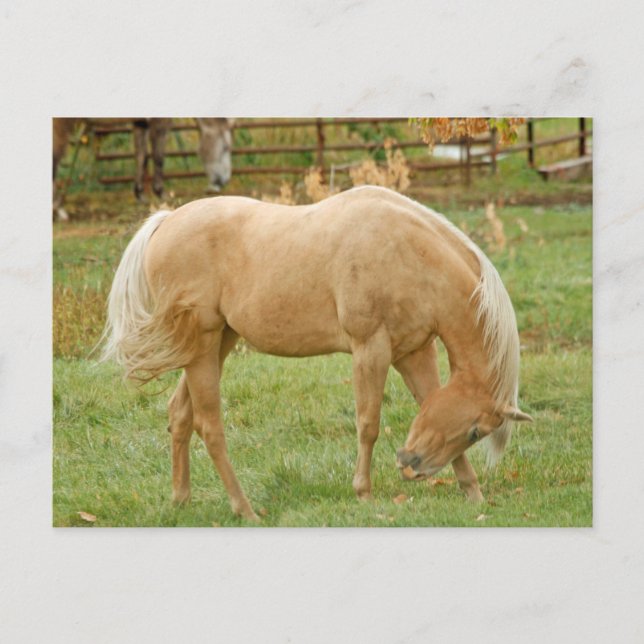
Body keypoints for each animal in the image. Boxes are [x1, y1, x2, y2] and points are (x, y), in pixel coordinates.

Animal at [52, 118, 233, 220]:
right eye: (226, 147)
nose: (223, 181)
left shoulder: (140, 123)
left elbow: (141, 156)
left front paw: (140, 194)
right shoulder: (158, 122)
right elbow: (158, 157)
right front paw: (161, 193)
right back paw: (59, 208)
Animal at [102, 185, 532, 521]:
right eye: (476, 431)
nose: (411, 467)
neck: (409, 254)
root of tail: (166, 221)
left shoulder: (414, 353)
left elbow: (427, 403)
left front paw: (473, 494)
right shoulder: (371, 350)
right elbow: (368, 424)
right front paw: (364, 493)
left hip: (216, 343)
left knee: (180, 414)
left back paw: (181, 500)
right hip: (204, 346)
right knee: (210, 427)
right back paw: (245, 509)